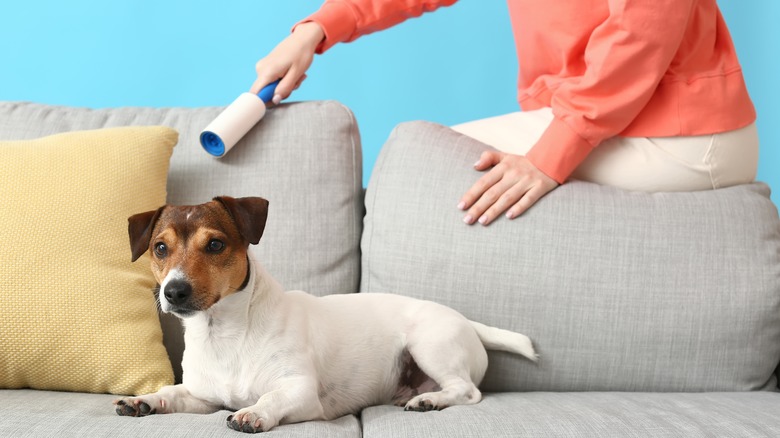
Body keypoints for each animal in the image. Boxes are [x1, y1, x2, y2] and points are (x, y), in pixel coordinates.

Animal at [114, 197, 536, 432]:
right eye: (160, 248)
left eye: (215, 244)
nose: (174, 291)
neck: (224, 333)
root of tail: (467, 322)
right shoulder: (204, 396)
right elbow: (172, 393)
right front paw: (145, 400)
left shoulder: (300, 392)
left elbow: (270, 398)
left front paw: (254, 412)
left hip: (430, 345)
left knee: (467, 390)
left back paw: (429, 401)